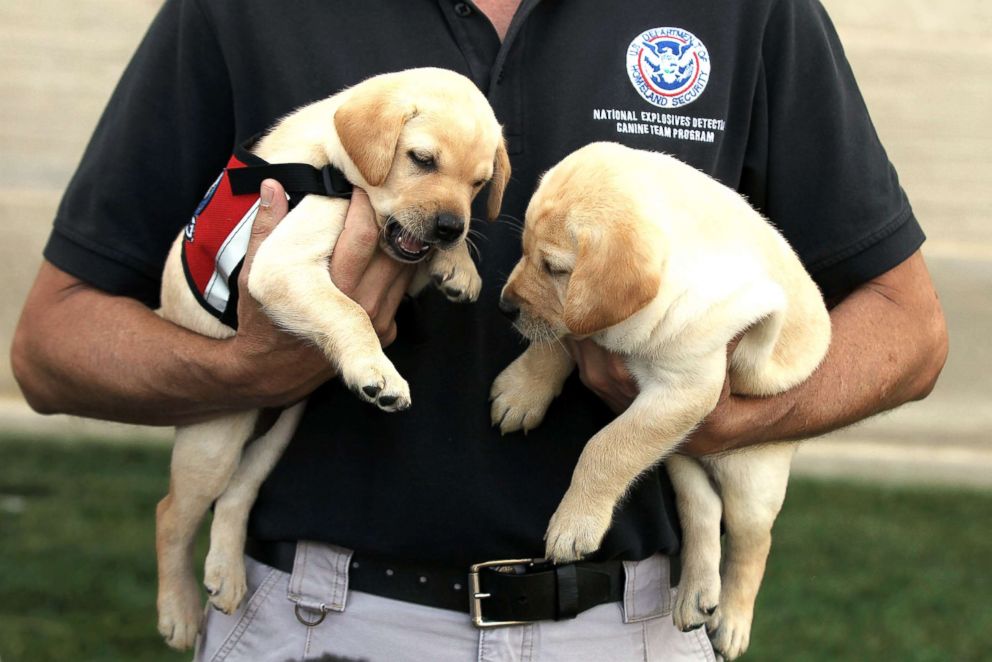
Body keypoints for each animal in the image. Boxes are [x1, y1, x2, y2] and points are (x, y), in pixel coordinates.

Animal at [157, 68, 512, 652]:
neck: (334, 167)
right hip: (215, 438)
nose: (450, 227)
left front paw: (458, 264)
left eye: (479, 184)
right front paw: (379, 373)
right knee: (172, 513)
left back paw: (226, 576)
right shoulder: (280, 264)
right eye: (422, 160)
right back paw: (179, 610)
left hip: (281, 429)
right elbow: (351, 311)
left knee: (237, 495)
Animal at [494, 143, 828, 660]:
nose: (505, 306)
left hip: (753, 477)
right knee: (701, 512)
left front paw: (575, 522)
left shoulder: (684, 390)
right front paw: (523, 388)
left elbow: (606, 447)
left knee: (752, 541)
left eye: (555, 268)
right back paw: (695, 595)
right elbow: (563, 336)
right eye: (525, 252)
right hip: (681, 457)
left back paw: (732, 619)